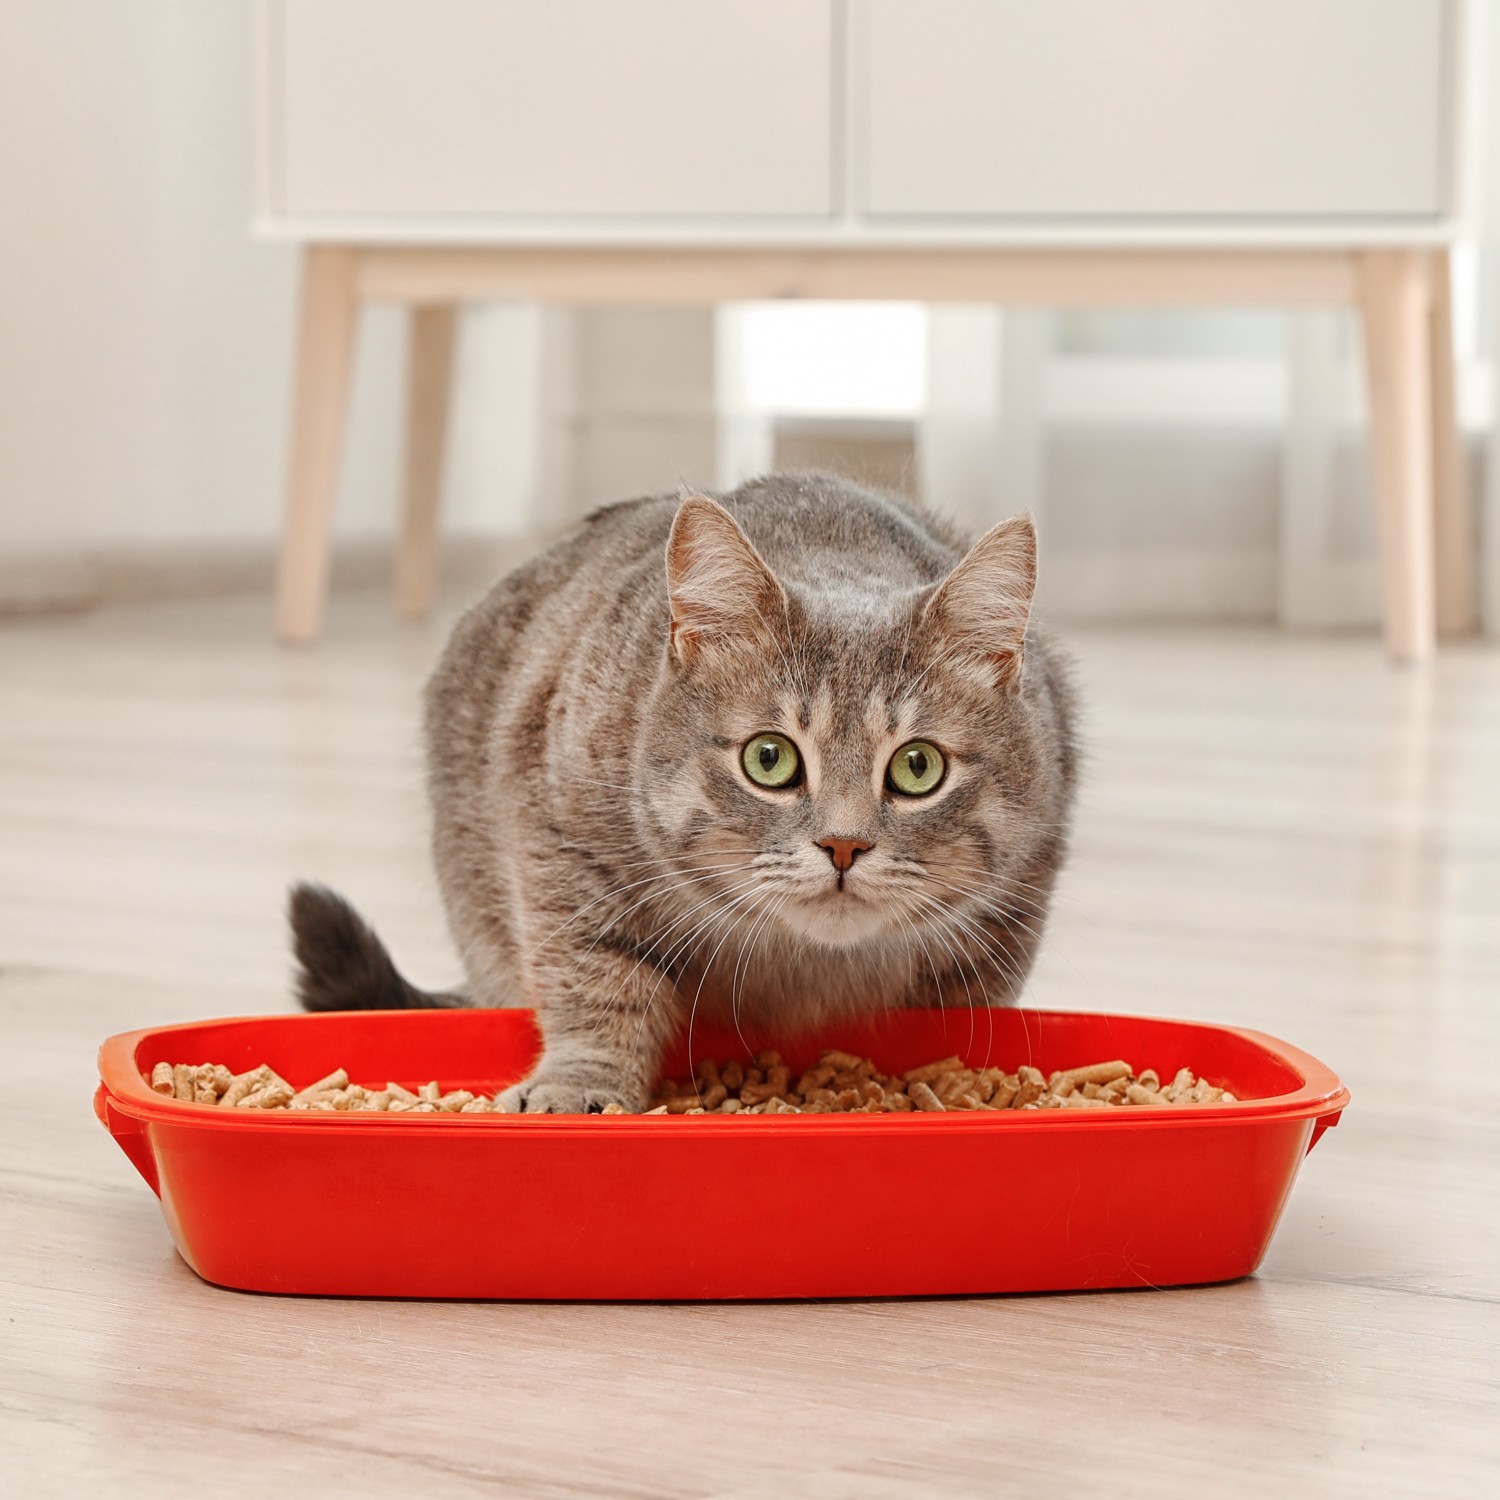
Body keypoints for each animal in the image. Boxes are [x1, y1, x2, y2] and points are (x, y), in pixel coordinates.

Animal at [286, 471, 1074, 1116]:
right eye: (768, 758)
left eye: (917, 767)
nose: (843, 845)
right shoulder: (564, 846)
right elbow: (596, 983)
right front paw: (579, 1087)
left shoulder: (1012, 909)